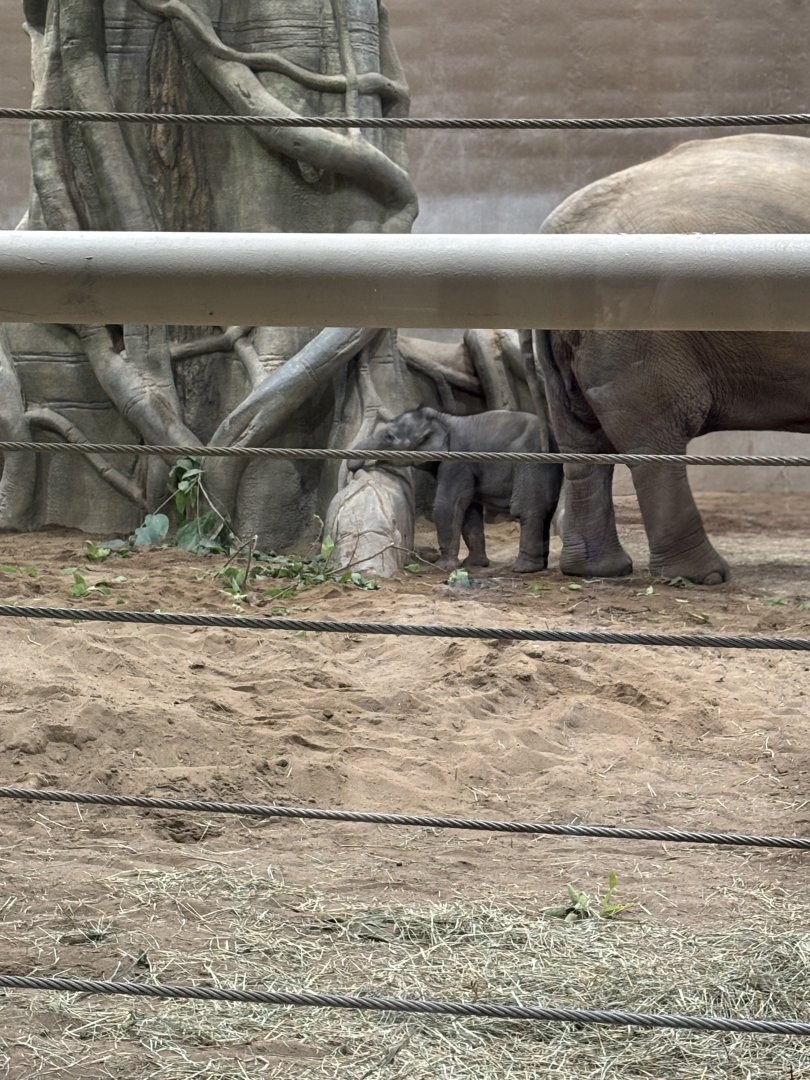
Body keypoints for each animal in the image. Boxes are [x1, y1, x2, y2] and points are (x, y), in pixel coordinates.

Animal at [348, 406, 563, 572]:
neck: (443, 418)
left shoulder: (457, 461)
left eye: (389, 437)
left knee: (526, 509)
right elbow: (469, 510)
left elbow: (448, 505)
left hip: (531, 464)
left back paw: (523, 568)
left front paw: (443, 567)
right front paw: (475, 564)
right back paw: (538, 566)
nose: (356, 468)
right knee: (544, 511)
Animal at [527, 133, 810, 585]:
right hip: (641, 333)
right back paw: (704, 576)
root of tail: (557, 228)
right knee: (654, 436)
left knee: (581, 439)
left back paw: (597, 571)